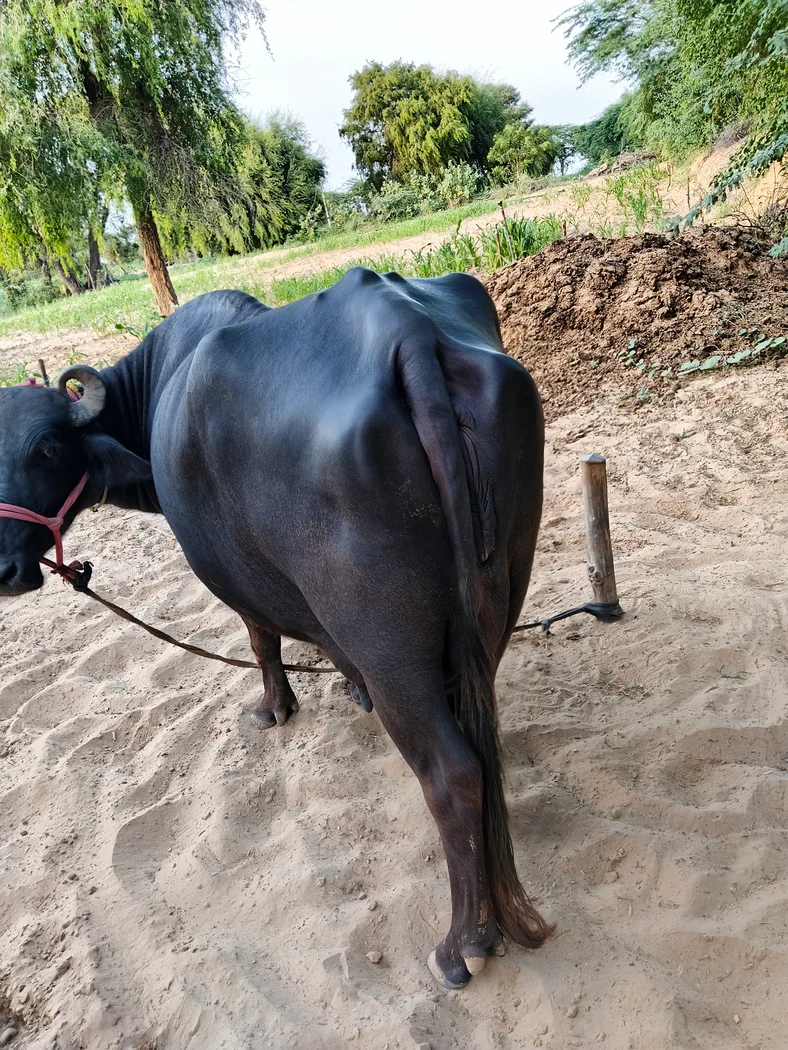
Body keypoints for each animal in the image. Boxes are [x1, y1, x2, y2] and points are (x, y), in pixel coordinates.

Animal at [0, 268, 552, 988]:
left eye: (45, 447)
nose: (6, 568)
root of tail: (410, 337)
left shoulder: (239, 583)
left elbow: (263, 638)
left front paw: (275, 708)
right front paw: (349, 691)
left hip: (392, 645)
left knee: (452, 771)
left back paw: (464, 943)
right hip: (500, 586)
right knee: (482, 743)